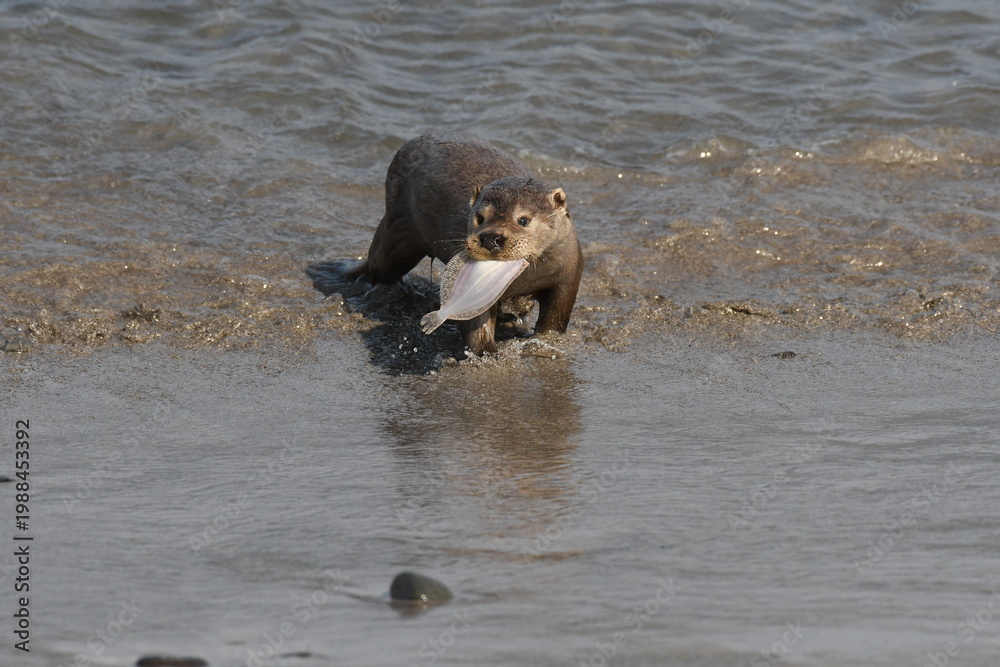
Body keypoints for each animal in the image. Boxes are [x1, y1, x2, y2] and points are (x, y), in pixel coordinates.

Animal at [344, 132, 583, 355]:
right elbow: (477, 327)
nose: (491, 238)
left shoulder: (568, 275)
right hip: (399, 233)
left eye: (523, 220)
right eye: (480, 217)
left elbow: (556, 317)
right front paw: (488, 353)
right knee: (378, 265)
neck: (525, 280)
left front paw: (545, 339)